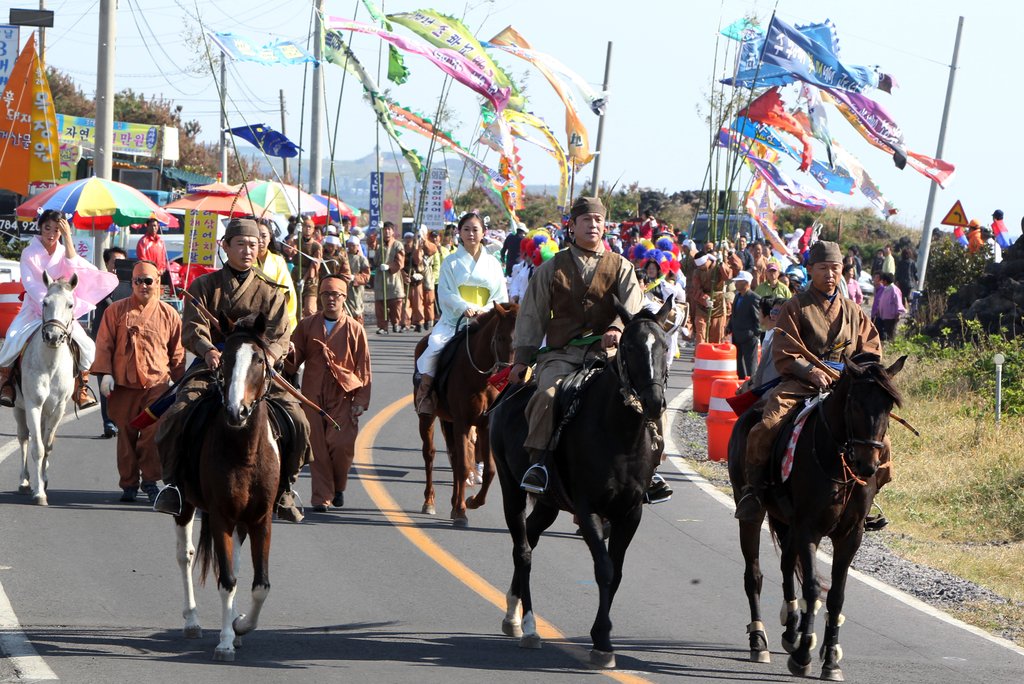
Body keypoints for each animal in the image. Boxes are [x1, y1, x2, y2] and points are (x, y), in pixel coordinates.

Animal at [16, 270, 78, 501]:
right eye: (45, 302)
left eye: (70, 304)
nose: (53, 336)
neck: (50, 366)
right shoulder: (33, 405)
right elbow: (38, 447)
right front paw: (39, 492)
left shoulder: (58, 408)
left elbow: (48, 445)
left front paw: (43, 481)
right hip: (19, 408)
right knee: (24, 439)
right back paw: (25, 481)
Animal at [173, 313, 280, 663]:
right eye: (225, 360)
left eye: (258, 360)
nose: (237, 411)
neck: (244, 451)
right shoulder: (220, 516)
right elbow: (227, 580)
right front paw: (224, 641)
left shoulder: (261, 519)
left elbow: (260, 585)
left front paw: (241, 625)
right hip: (185, 504)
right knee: (185, 555)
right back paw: (192, 621)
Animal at [411, 301, 516, 528]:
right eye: (500, 337)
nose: (509, 373)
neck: (480, 378)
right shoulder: (463, 422)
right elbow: (463, 465)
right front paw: (461, 511)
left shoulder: (484, 425)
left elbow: (488, 469)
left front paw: (472, 501)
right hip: (427, 418)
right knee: (430, 454)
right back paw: (429, 501)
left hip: (448, 421)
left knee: (453, 455)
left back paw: (453, 500)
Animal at [487, 296, 671, 667]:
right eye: (629, 347)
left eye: (664, 345)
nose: (654, 402)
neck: (620, 434)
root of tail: (512, 387)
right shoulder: (588, 510)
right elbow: (604, 569)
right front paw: (602, 641)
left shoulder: (630, 513)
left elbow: (616, 573)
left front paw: (602, 638)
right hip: (511, 489)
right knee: (523, 550)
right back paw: (528, 626)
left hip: (549, 503)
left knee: (530, 538)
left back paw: (513, 611)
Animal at [724, 356, 909, 679]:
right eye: (855, 403)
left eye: (888, 407)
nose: (868, 465)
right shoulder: (809, 528)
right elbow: (812, 587)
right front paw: (802, 656)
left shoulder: (849, 535)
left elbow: (836, 594)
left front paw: (830, 658)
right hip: (752, 511)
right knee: (754, 574)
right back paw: (759, 640)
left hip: (788, 523)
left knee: (787, 566)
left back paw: (792, 628)